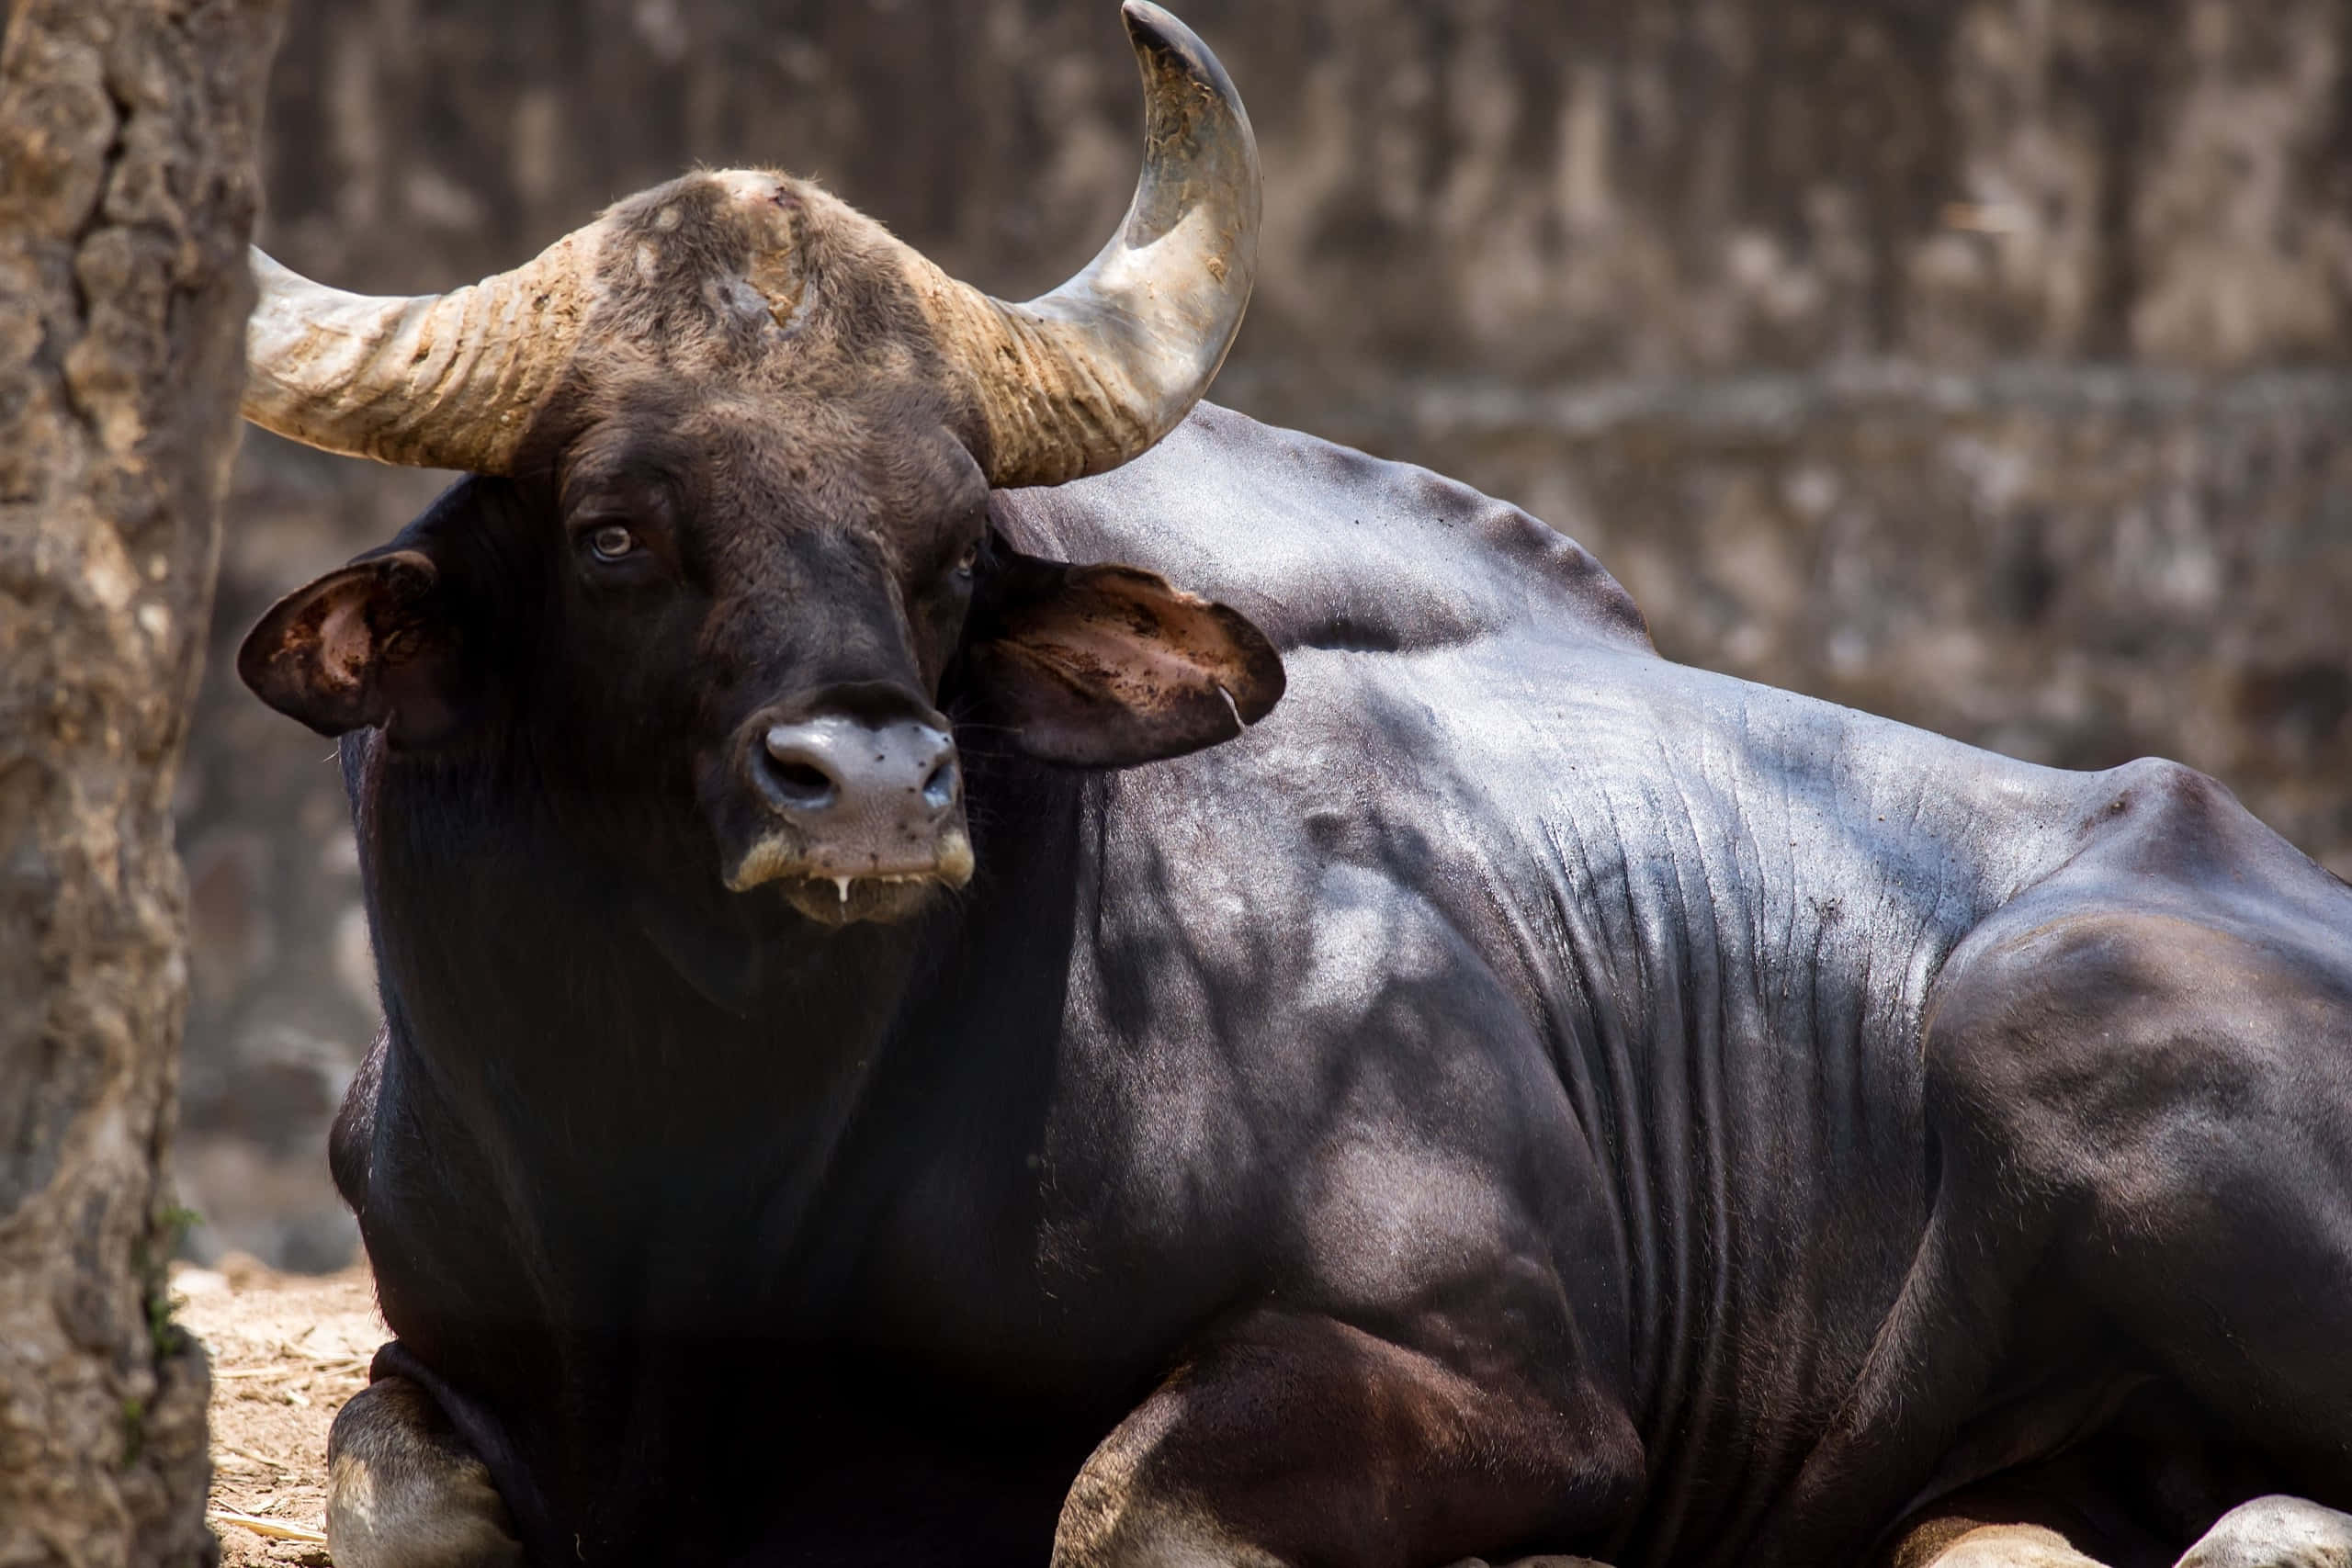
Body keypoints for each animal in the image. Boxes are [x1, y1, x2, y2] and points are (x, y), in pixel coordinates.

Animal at [229, 6, 2352, 1568]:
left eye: (950, 547)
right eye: (611, 529)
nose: (876, 785)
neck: (700, 1185)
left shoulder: (1503, 1374)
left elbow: (1120, 1501)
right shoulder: (435, 1344)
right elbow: (388, 1488)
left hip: (2044, 1002)